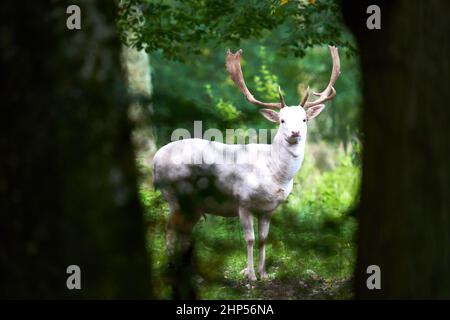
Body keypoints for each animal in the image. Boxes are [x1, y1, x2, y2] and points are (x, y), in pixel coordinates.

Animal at [153, 45, 340, 280]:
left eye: (304, 119)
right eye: (282, 120)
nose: (295, 132)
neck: (274, 174)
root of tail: (154, 159)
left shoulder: (269, 208)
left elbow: (263, 239)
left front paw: (264, 274)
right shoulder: (242, 201)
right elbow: (249, 239)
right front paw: (250, 276)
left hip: (192, 205)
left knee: (183, 232)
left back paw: (192, 274)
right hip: (176, 195)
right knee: (170, 230)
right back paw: (173, 270)